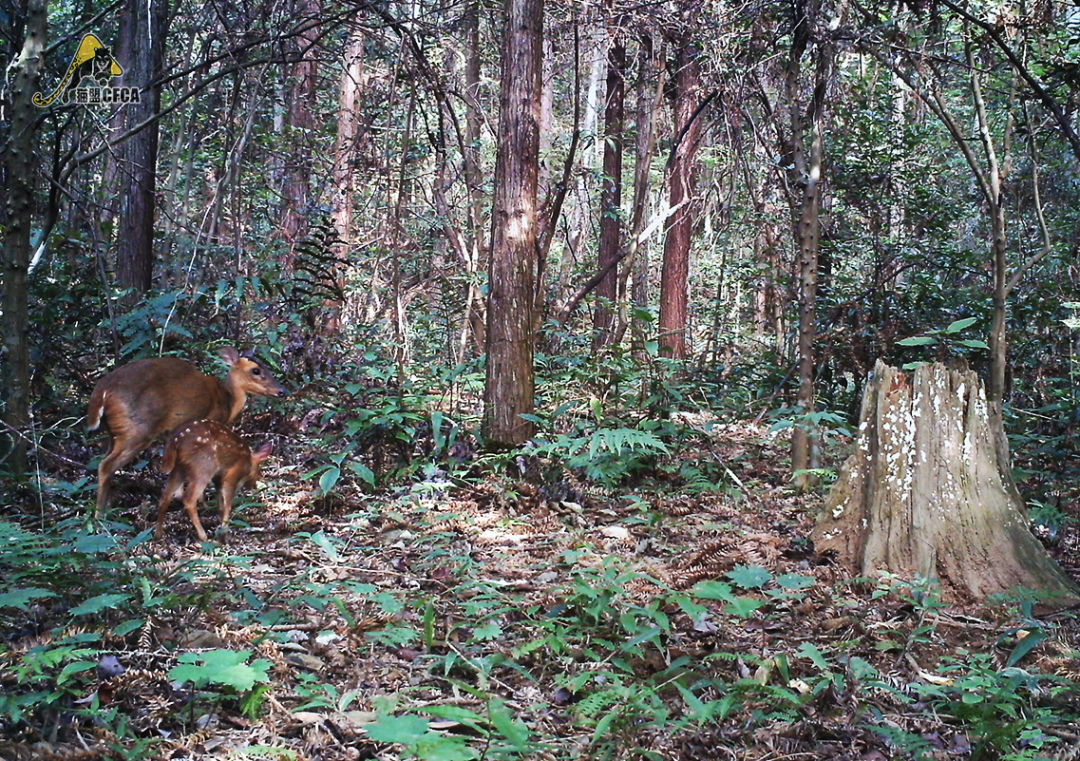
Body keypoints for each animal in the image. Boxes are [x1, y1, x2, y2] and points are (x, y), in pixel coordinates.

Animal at [86, 345, 287, 513]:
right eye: (256, 370)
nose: (282, 391)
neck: (227, 402)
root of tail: (102, 392)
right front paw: (203, 502)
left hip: (115, 432)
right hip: (137, 430)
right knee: (106, 466)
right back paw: (100, 514)